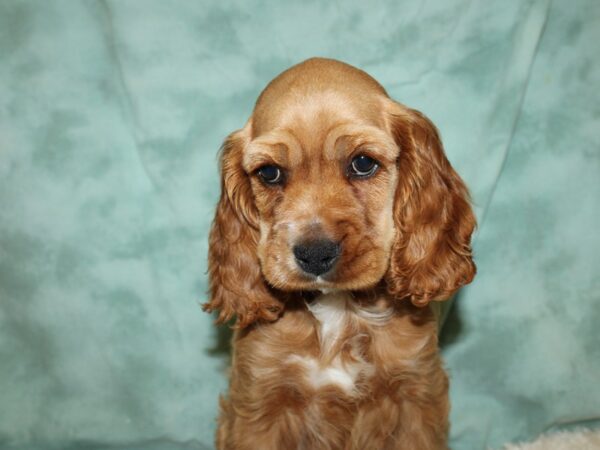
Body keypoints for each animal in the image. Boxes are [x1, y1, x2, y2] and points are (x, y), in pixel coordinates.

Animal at [204, 58, 476, 448]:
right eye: (269, 173)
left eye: (362, 163)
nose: (315, 254)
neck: (339, 309)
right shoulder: (258, 401)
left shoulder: (417, 395)